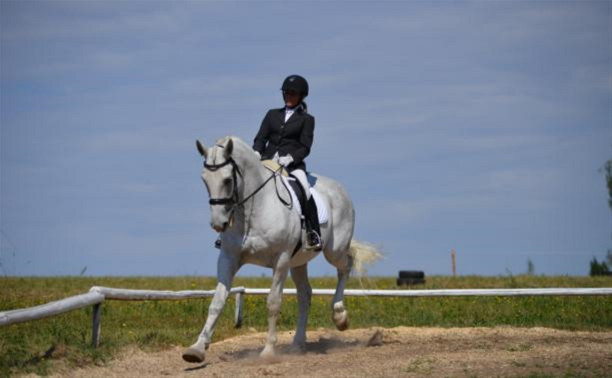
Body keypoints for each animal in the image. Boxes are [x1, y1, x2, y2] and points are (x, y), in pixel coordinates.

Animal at [184, 137, 380, 364]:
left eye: (227, 180)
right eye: (204, 179)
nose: (218, 224)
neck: (253, 209)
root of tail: (339, 188)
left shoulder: (281, 259)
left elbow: (273, 303)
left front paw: (268, 351)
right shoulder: (228, 257)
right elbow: (217, 302)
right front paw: (196, 349)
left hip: (333, 251)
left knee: (346, 265)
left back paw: (340, 316)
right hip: (299, 261)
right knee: (305, 294)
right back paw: (298, 344)